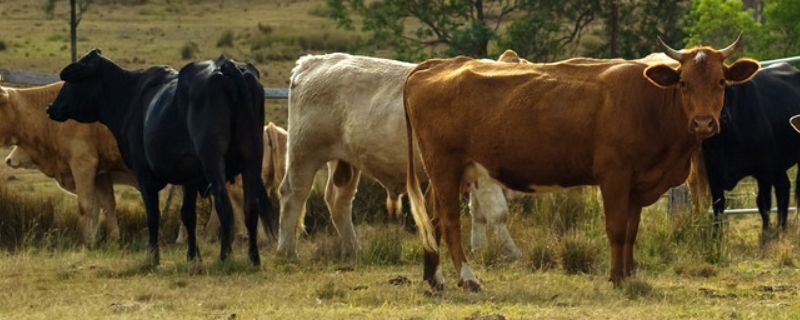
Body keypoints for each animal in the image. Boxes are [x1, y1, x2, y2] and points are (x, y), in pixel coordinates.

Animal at [0, 79, 136, 244]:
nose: (8, 160)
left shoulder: (83, 163)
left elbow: (86, 206)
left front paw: (87, 244)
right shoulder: (101, 173)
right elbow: (105, 206)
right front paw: (110, 242)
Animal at [49, 48, 278, 266]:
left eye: (71, 81)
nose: (50, 107)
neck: (131, 97)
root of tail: (226, 66)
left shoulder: (144, 173)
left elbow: (153, 214)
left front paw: (153, 256)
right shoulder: (190, 176)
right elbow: (188, 215)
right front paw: (193, 257)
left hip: (213, 160)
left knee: (223, 203)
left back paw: (225, 256)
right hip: (251, 158)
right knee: (251, 207)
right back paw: (254, 258)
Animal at [280, 52, 524, 260]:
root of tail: (313, 61)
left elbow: (479, 212)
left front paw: (479, 249)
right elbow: (497, 212)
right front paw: (511, 251)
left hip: (344, 161)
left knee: (338, 200)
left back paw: (353, 249)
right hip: (304, 153)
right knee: (293, 195)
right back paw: (287, 251)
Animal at [404, 36, 760, 292]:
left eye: (721, 82)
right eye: (683, 82)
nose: (703, 123)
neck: (650, 103)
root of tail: (436, 65)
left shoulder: (637, 183)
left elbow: (631, 231)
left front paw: (629, 274)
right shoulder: (614, 175)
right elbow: (616, 229)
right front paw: (616, 278)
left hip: (445, 172)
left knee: (433, 219)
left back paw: (434, 278)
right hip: (444, 166)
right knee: (449, 221)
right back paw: (468, 278)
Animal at [688, 62, 800, 232]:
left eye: (729, 86)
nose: (721, 118)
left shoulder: (764, 170)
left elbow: (763, 203)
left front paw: (765, 235)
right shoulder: (713, 173)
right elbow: (718, 208)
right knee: (783, 188)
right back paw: (782, 228)